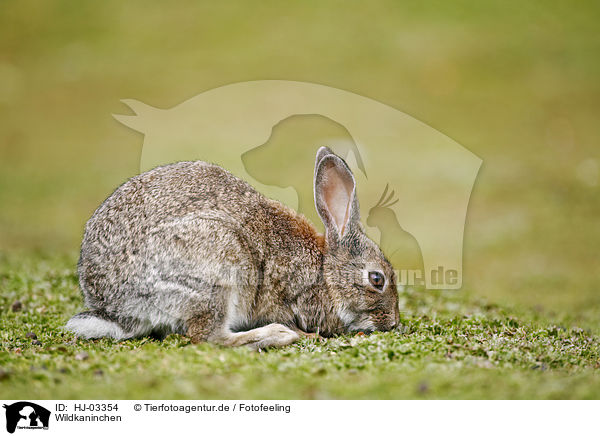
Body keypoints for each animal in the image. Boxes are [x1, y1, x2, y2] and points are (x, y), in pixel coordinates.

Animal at [67, 146, 398, 348]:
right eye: (377, 279)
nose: (393, 323)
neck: (325, 271)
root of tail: (115, 309)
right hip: (217, 268)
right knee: (209, 337)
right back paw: (277, 335)